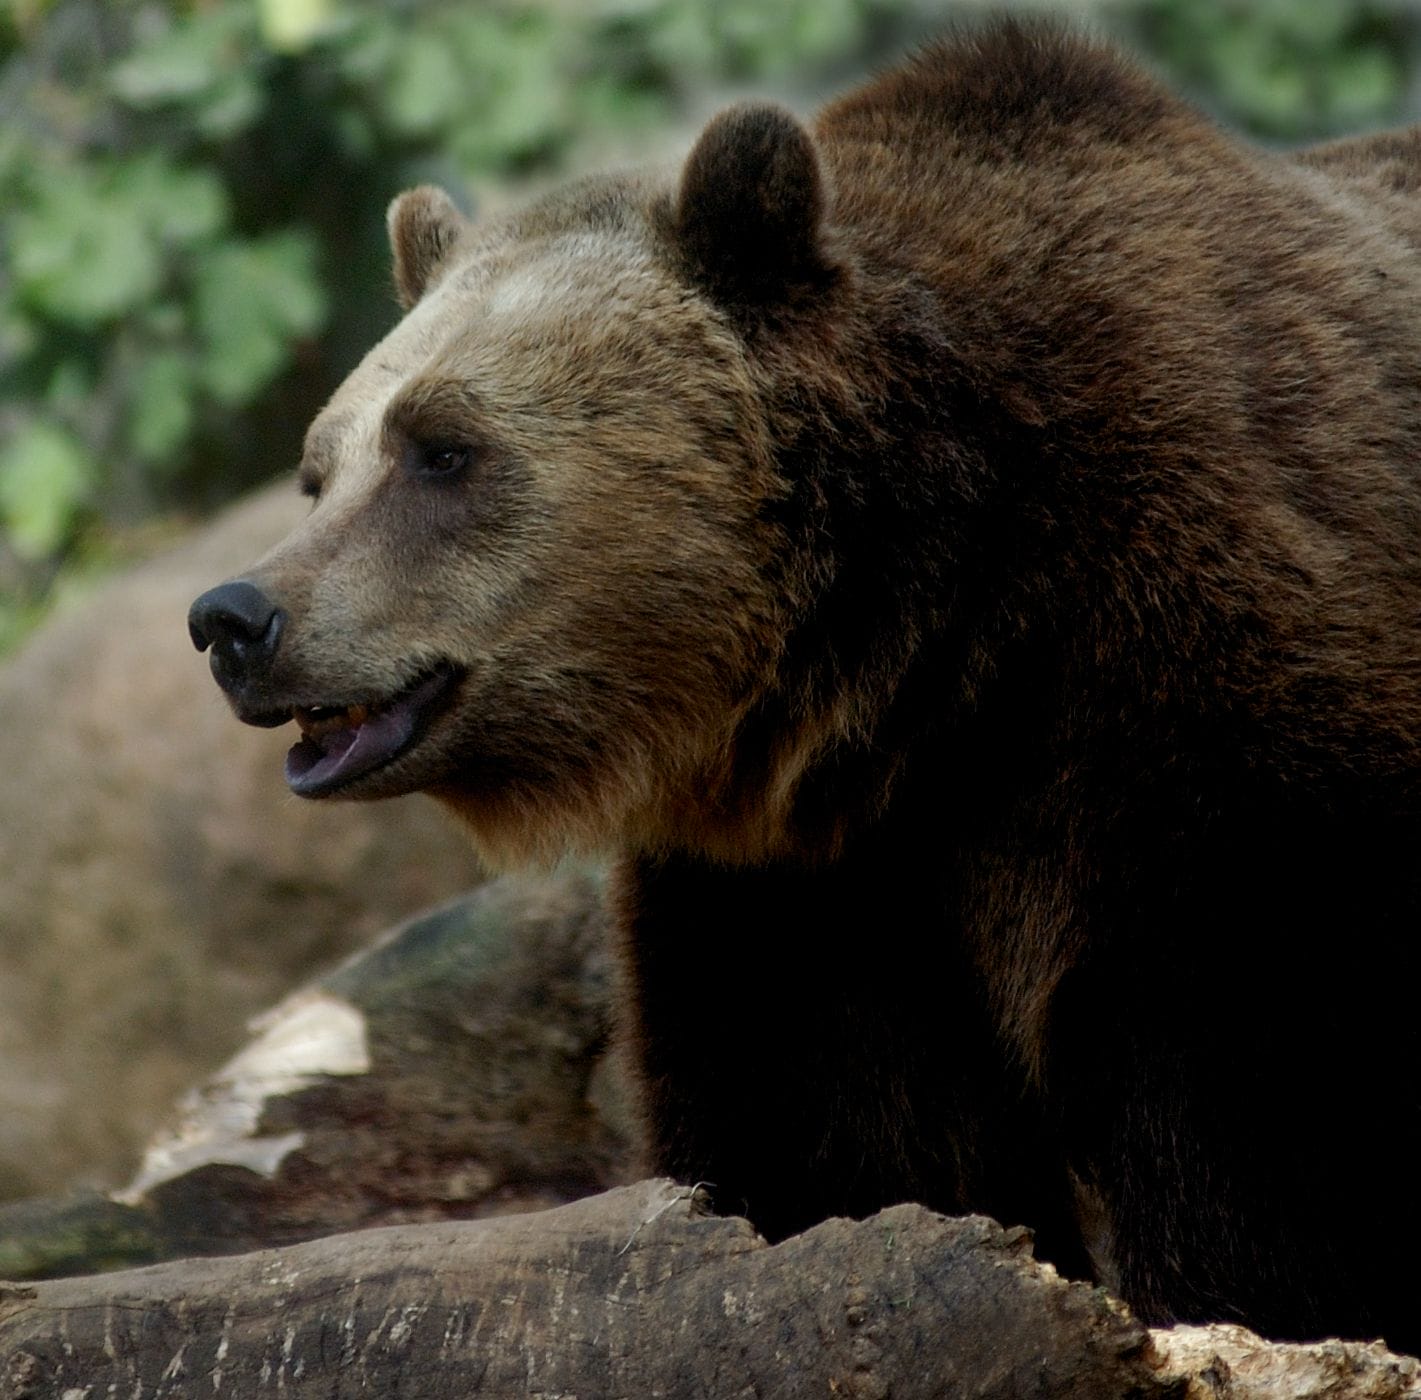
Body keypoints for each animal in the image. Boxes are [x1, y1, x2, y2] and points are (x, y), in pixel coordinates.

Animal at [191, 21, 1421, 1353]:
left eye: (442, 448)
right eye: (321, 466)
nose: (234, 618)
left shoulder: (1205, 721)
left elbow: (1267, 1112)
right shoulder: (806, 880)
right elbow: (828, 1134)